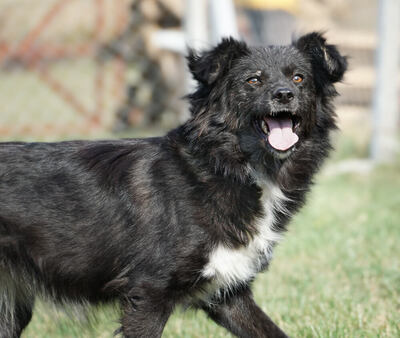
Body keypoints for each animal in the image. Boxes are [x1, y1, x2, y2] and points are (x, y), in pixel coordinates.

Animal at [0, 32, 346, 338]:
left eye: (299, 78)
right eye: (253, 80)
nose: (284, 94)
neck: (224, 166)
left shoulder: (227, 293)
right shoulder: (149, 292)